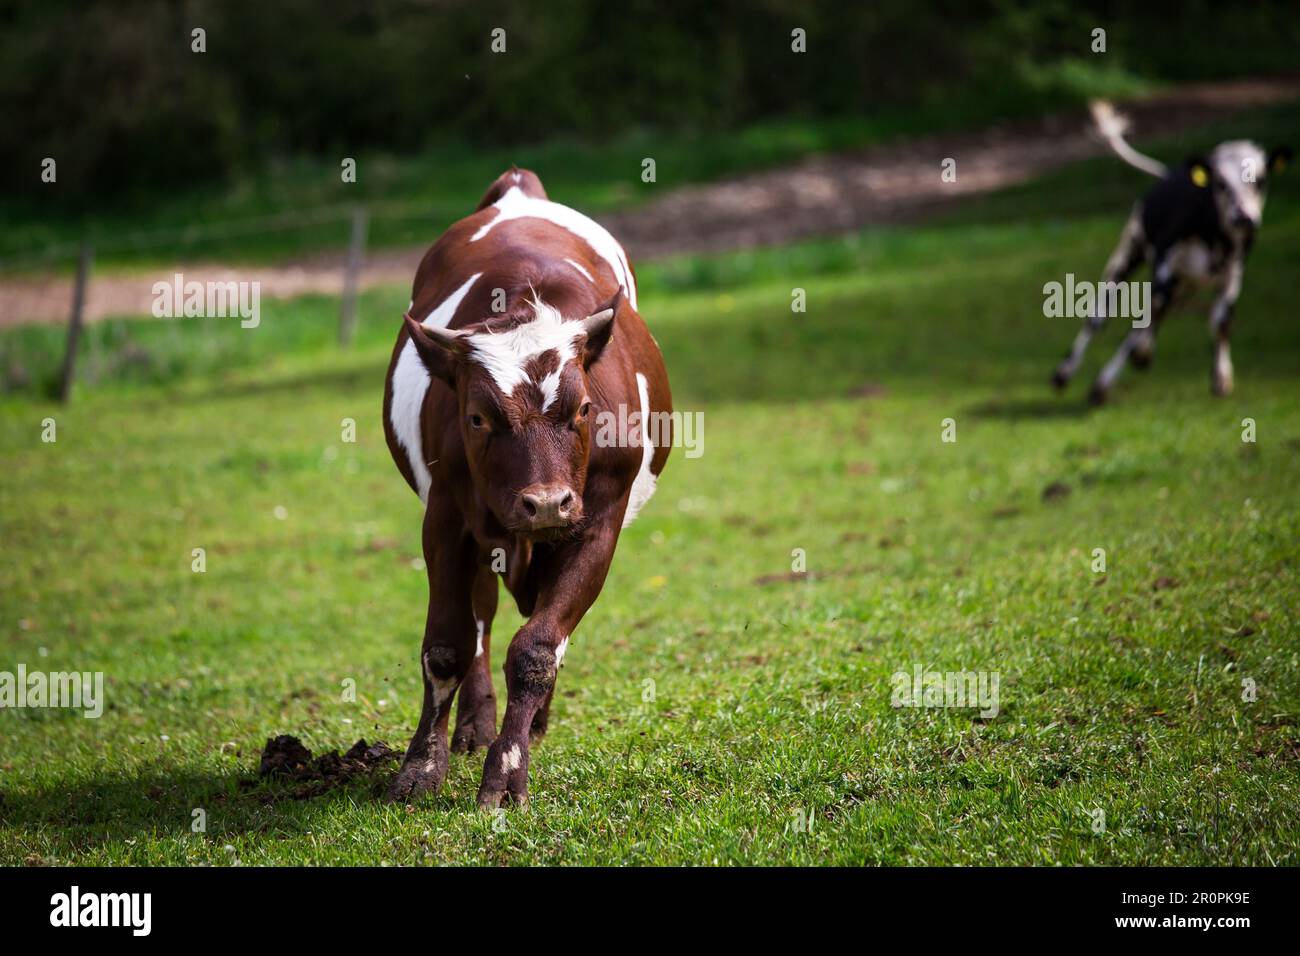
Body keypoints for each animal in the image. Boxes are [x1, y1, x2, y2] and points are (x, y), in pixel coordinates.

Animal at [379, 166, 670, 806]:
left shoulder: (598, 522)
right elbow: (447, 646)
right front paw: (421, 765)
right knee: (483, 618)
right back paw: (476, 723)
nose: (545, 503)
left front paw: (508, 770)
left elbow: (538, 647)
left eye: (584, 408)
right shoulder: (445, 517)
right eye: (477, 418)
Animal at [1055, 100, 1289, 403]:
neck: (1212, 231)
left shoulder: (1233, 272)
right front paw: (1106, 380)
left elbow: (1220, 321)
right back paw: (1066, 372)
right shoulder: (1165, 267)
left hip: (1184, 282)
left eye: (1260, 180)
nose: (1245, 218)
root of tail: (1167, 173)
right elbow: (1144, 317)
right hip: (1130, 250)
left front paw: (1221, 378)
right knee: (1101, 316)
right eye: (1221, 183)